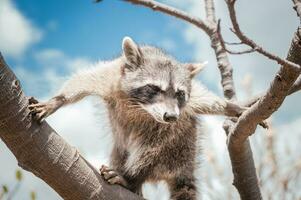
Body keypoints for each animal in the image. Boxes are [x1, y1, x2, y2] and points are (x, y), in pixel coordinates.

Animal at [28, 36, 244, 199]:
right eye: (154, 88)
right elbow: (83, 81)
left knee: (152, 150)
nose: (171, 116)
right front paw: (56, 100)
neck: (140, 106)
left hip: (178, 149)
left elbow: (205, 99)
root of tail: (185, 167)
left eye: (180, 94)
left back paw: (132, 178)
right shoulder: (112, 76)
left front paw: (233, 107)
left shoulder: (186, 106)